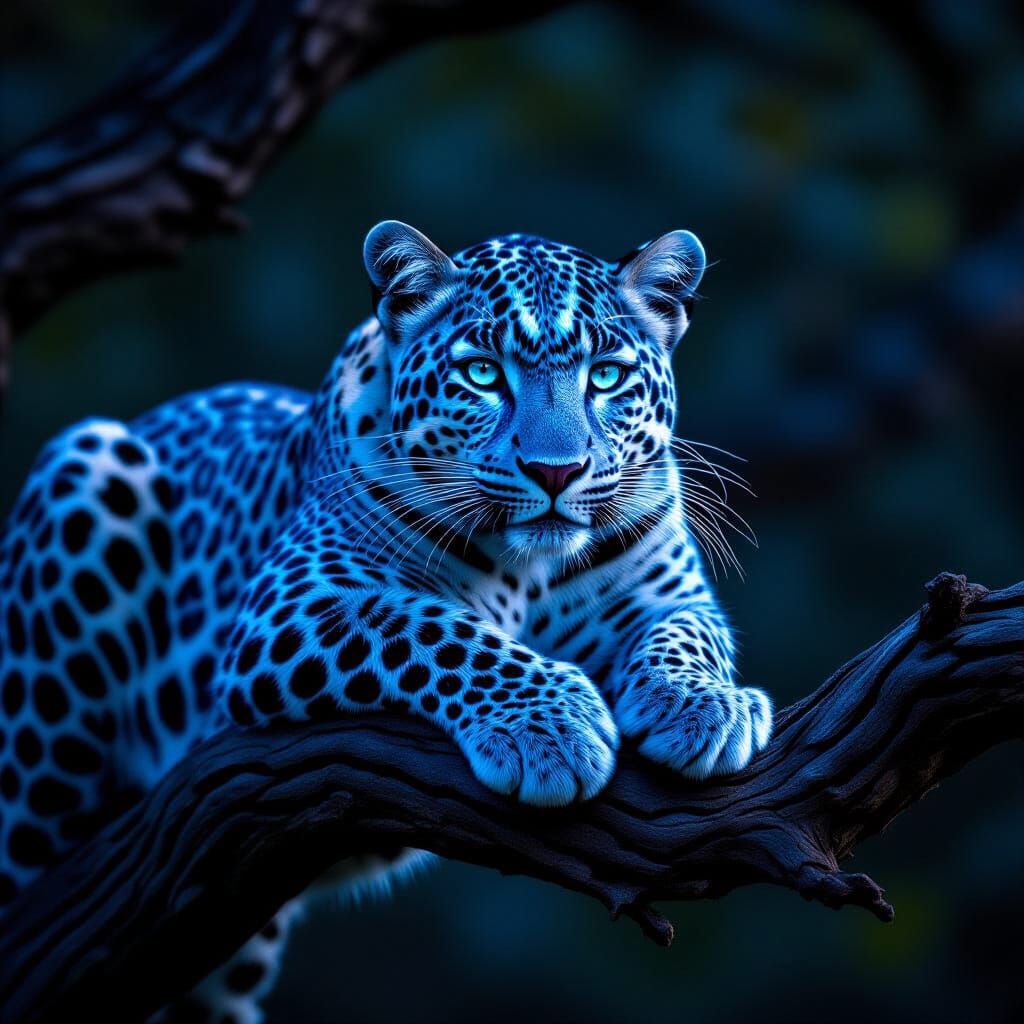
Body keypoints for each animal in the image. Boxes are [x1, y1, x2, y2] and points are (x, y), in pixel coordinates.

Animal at [0, 221, 771, 1022]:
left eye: (607, 378)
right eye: (483, 375)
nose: (556, 472)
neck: (530, 568)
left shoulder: (672, 594)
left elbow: (687, 637)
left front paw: (705, 708)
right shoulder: (292, 602)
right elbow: (433, 628)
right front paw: (551, 729)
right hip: (83, 476)